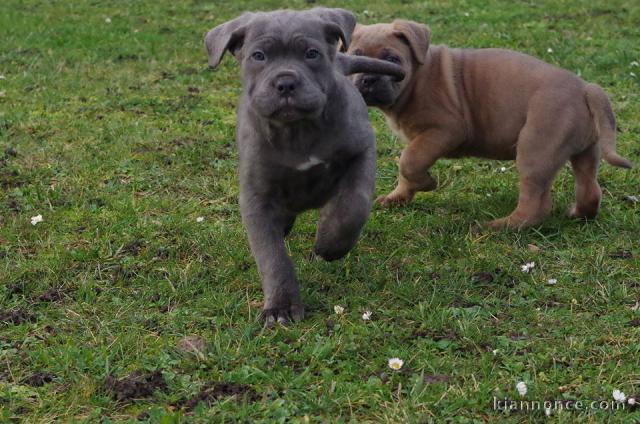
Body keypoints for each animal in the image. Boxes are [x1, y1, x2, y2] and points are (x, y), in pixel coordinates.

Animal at [205, 8, 404, 326]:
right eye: (258, 56)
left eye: (312, 53)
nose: (285, 82)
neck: (297, 131)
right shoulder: (257, 197)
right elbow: (272, 257)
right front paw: (280, 307)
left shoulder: (361, 152)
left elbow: (351, 208)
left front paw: (328, 244)